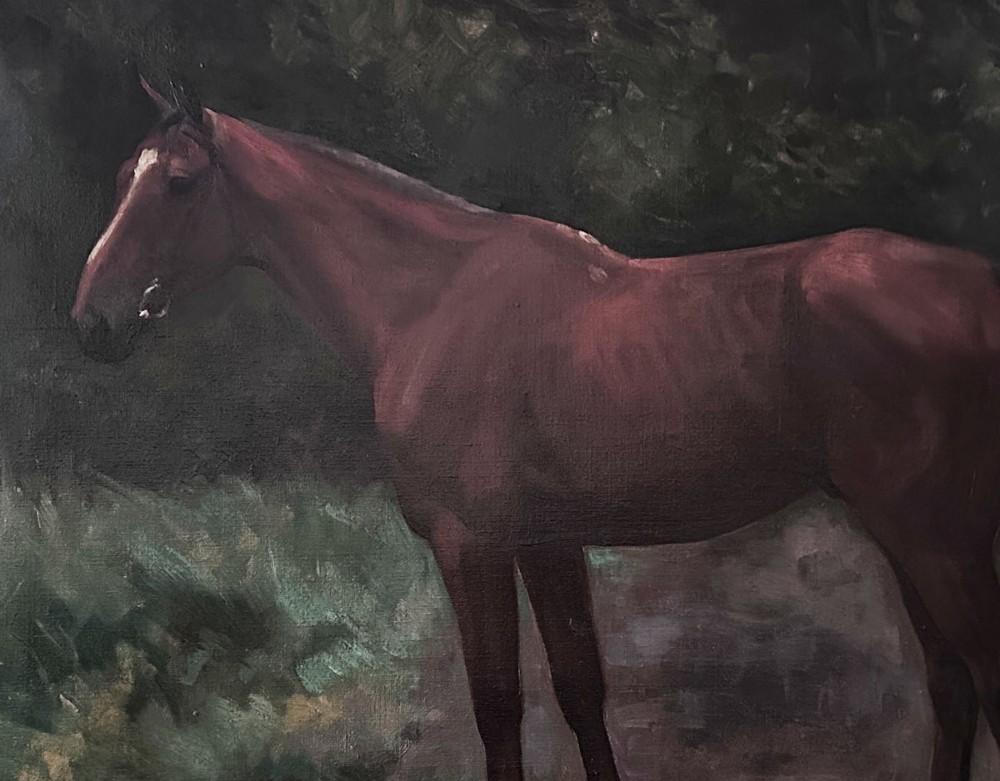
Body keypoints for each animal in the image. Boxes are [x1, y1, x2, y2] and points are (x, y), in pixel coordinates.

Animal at [71, 77, 1000, 781]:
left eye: (179, 184)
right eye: (121, 177)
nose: (93, 323)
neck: (431, 300)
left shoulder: (470, 545)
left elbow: (499, 705)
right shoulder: (549, 542)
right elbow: (582, 690)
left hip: (932, 537)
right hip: (905, 537)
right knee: (952, 689)